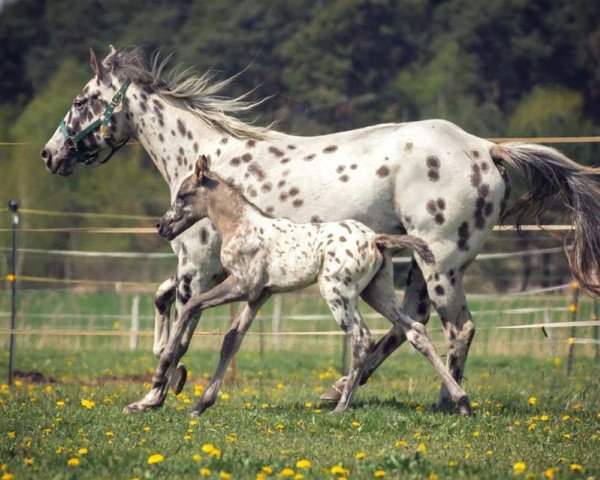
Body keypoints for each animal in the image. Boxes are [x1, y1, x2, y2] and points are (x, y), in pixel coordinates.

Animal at [148, 156, 472, 414]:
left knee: (361, 338)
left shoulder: (242, 285)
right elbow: (231, 341)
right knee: (414, 331)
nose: (162, 226)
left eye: (183, 195)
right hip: (377, 293)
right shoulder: (259, 296)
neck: (241, 226)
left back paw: (341, 406)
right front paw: (200, 404)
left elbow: (191, 305)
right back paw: (462, 401)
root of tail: (374, 239)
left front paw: (163, 369)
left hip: (337, 293)